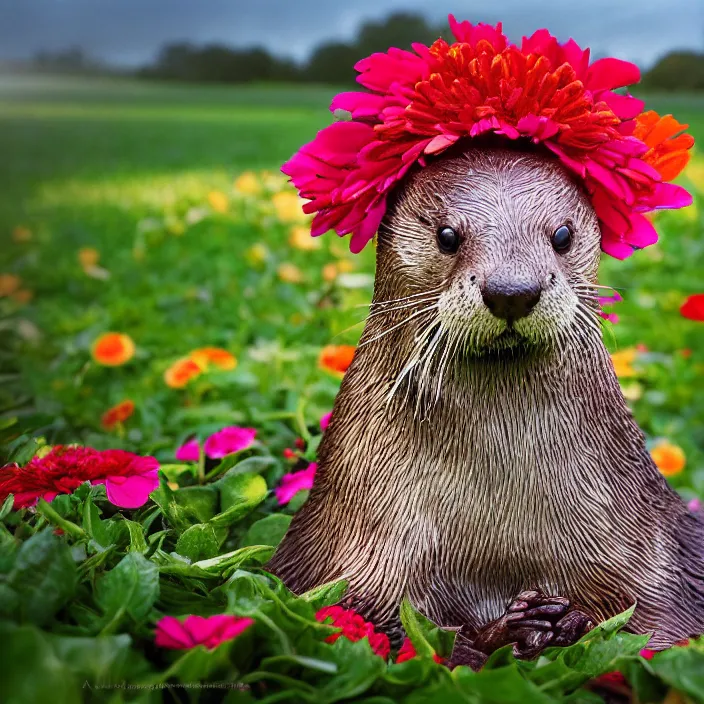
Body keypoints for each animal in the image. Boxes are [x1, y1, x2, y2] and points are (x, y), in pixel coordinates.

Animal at [266, 144, 704, 664]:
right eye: (447, 236)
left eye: (562, 235)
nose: (512, 291)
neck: (495, 530)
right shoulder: (357, 555)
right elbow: (388, 627)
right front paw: (513, 632)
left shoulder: (654, 564)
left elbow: (654, 632)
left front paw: (563, 625)